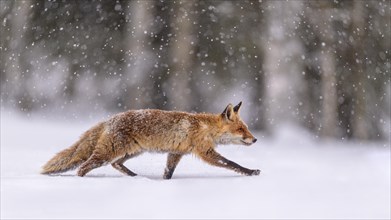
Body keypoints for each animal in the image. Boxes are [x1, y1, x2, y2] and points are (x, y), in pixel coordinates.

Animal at [42, 101, 260, 179]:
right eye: (241, 129)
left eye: (246, 128)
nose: (255, 139)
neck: (206, 128)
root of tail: (109, 119)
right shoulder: (205, 151)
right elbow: (231, 163)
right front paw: (250, 172)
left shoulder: (176, 153)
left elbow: (168, 172)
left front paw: (165, 183)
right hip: (109, 152)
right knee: (83, 167)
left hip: (132, 152)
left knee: (116, 164)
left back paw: (134, 177)